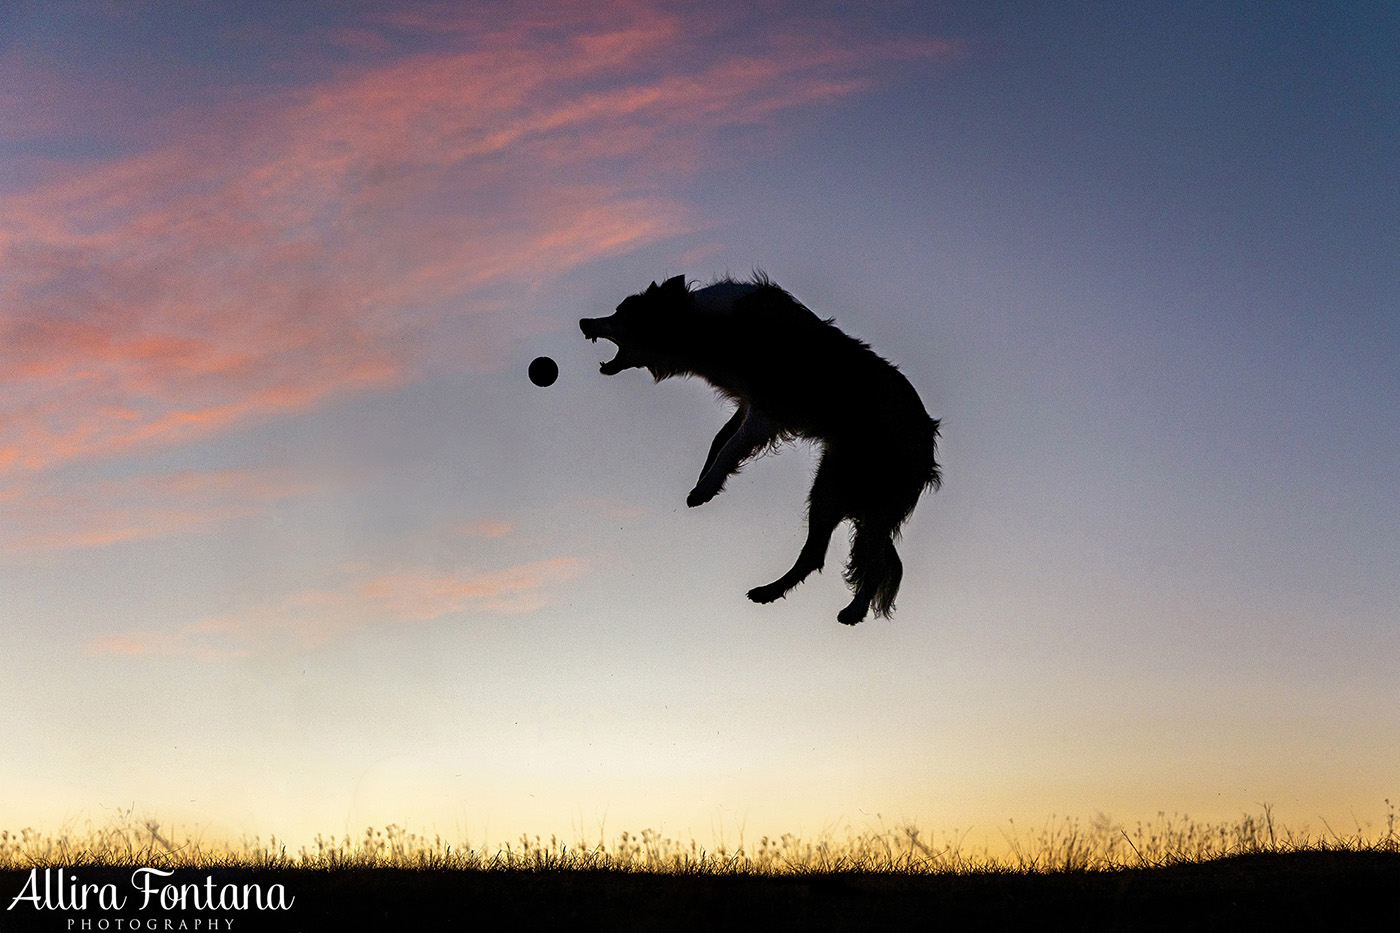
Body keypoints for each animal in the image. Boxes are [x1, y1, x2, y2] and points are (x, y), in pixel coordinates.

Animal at [579, 275, 940, 624]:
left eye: (624, 314)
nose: (584, 322)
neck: (704, 324)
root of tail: (928, 444)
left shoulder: (766, 411)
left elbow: (730, 448)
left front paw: (704, 489)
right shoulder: (748, 404)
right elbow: (720, 440)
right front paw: (704, 479)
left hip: (852, 491)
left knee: (868, 562)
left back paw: (852, 612)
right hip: (834, 489)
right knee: (819, 554)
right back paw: (769, 592)